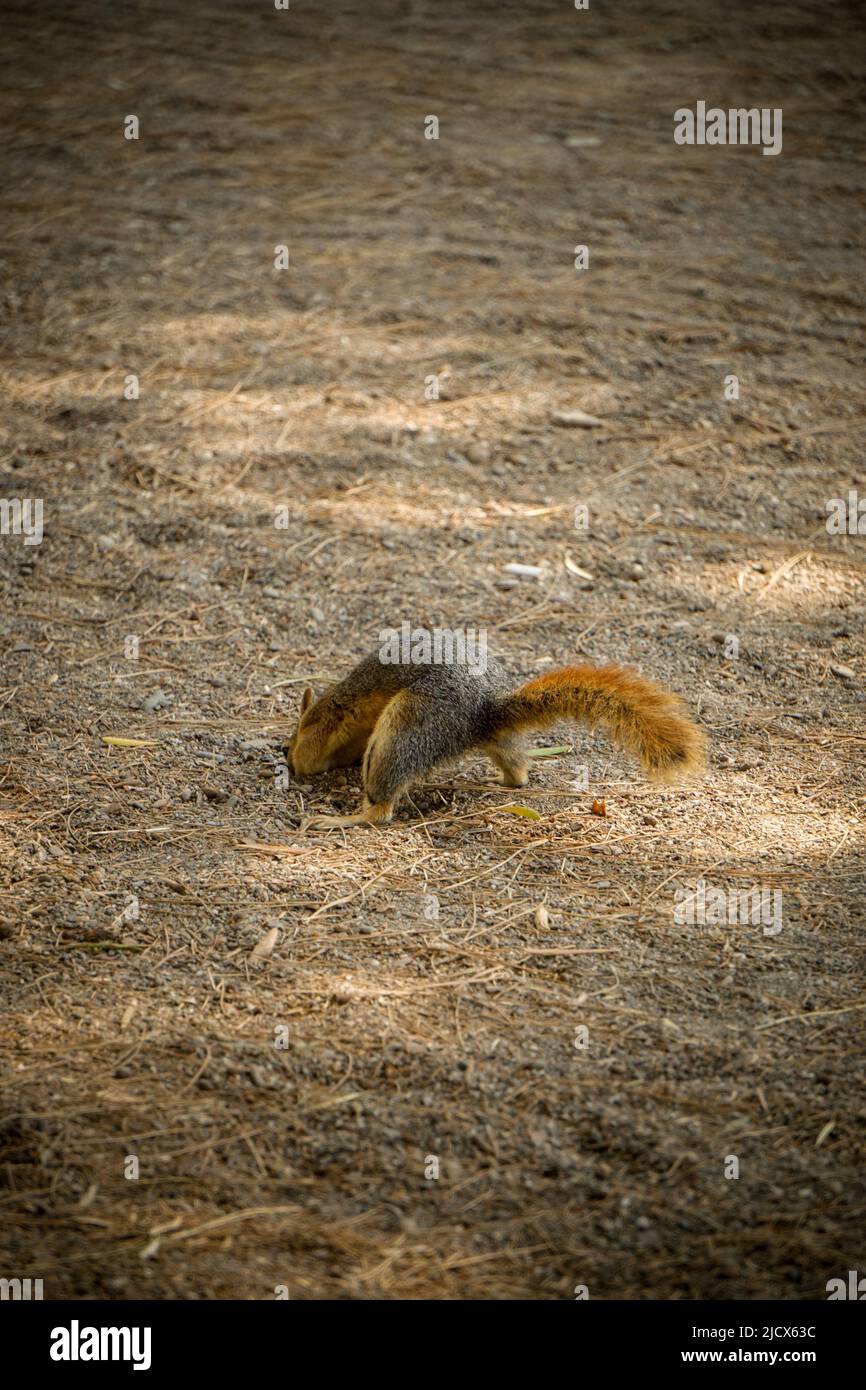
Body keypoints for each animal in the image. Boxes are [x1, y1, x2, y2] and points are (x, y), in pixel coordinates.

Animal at [287, 636, 708, 822]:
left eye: (295, 734)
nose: (286, 753)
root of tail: (485, 711)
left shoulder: (331, 718)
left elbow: (315, 748)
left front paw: (299, 760)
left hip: (409, 721)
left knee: (382, 807)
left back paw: (345, 818)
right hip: (496, 738)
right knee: (519, 771)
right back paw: (503, 781)